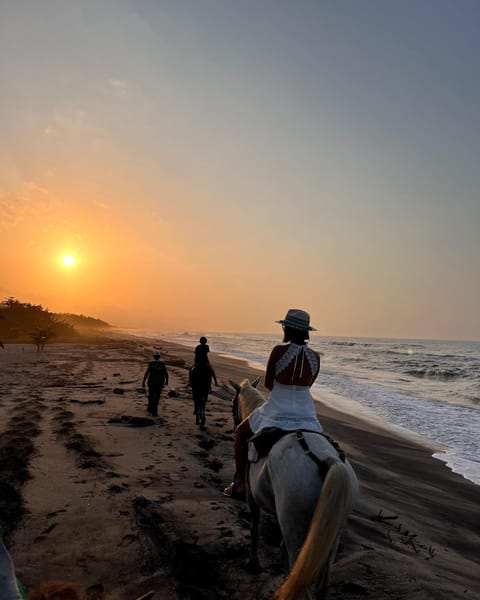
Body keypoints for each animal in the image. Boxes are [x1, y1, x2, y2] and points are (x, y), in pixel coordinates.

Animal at [231, 380, 358, 600]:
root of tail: (328, 460)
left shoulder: (252, 499)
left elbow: (254, 529)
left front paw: (253, 564)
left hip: (296, 528)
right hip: (334, 531)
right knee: (324, 579)